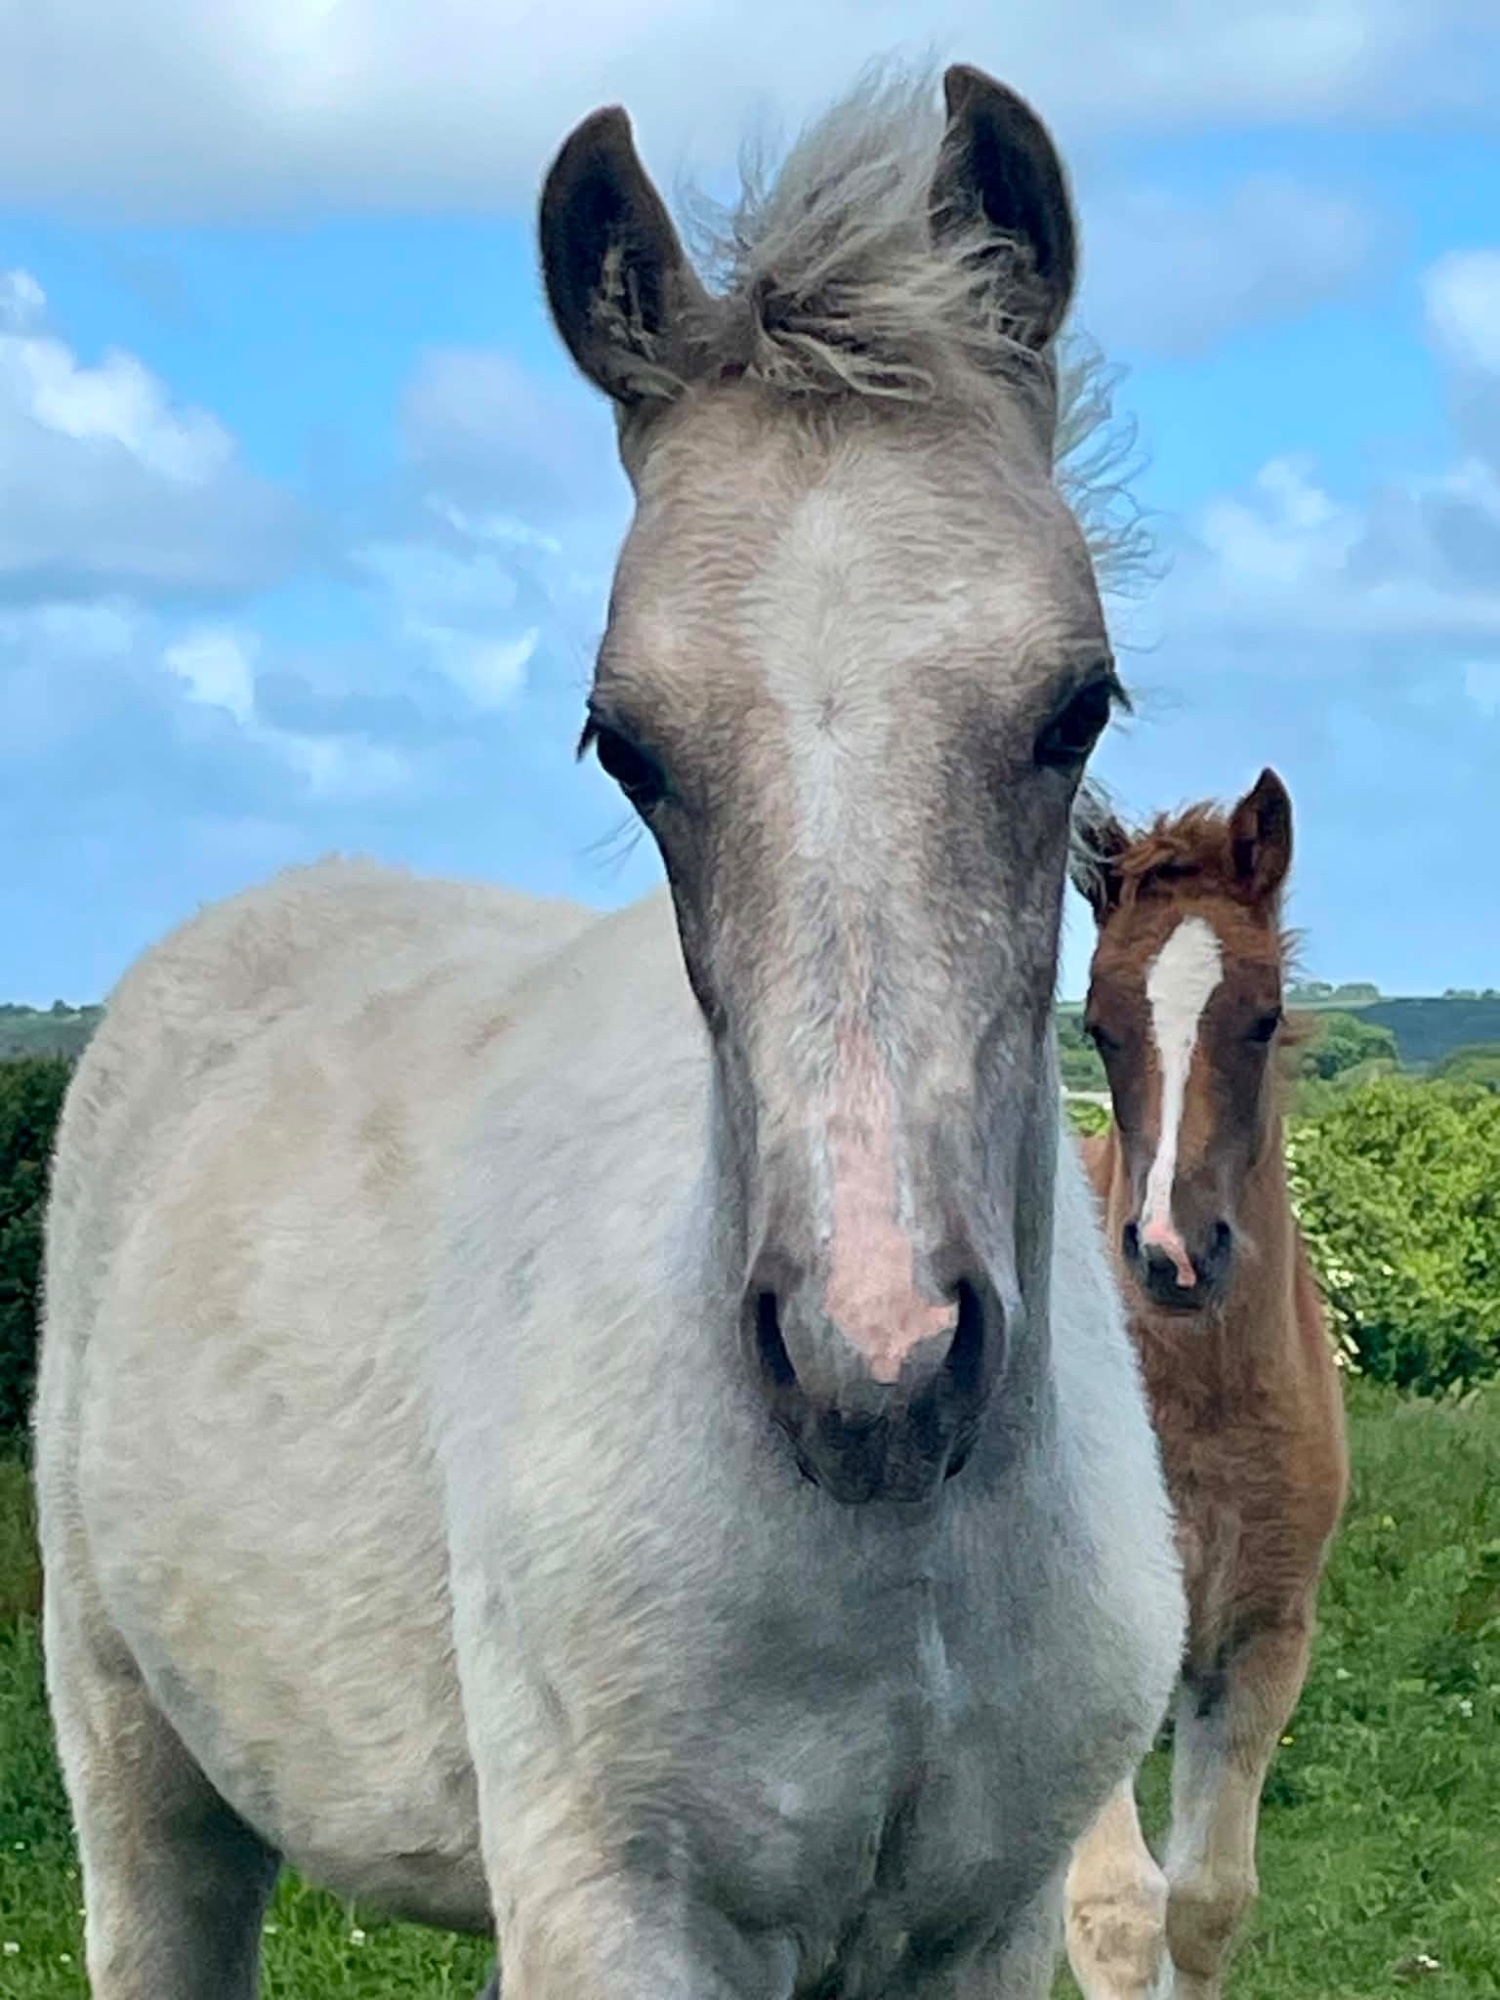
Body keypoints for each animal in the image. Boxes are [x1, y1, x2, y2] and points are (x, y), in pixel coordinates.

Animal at [34, 64, 1185, 1999]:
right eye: (626, 745)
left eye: (1073, 707)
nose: (876, 1363)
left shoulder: (987, 1923)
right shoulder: (611, 1914)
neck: (900, 1572)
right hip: (139, 1777)